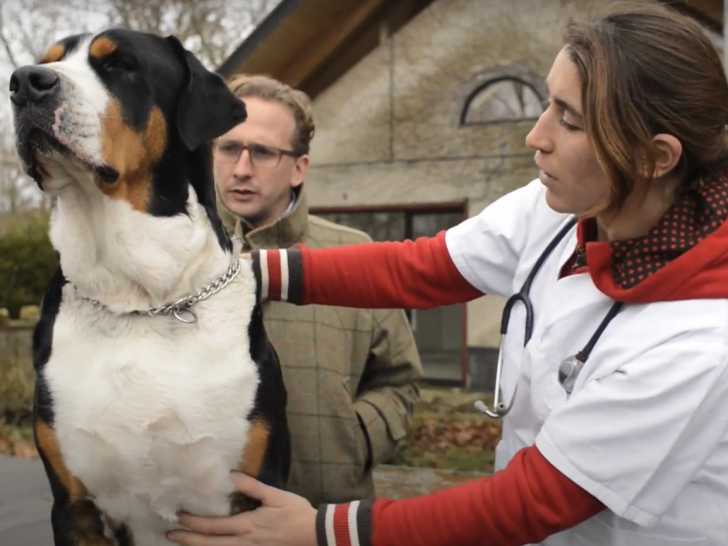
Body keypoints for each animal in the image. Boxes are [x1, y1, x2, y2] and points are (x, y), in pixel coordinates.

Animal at [10, 28, 290, 545]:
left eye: (121, 65)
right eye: (48, 61)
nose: (24, 82)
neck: (139, 297)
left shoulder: (257, 500)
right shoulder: (74, 505)